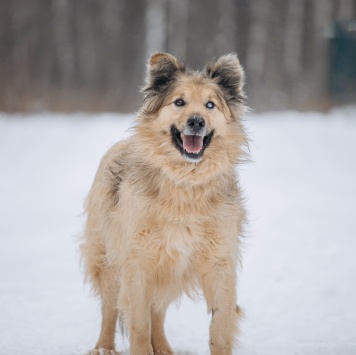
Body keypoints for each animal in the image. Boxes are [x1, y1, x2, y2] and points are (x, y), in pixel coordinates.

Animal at [80, 51, 248, 354]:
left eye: (210, 104)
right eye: (179, 102)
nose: (196, 121)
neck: (184, 183)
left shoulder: (219, 263)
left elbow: (220, 325)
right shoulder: (138, 263)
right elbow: (138, 325)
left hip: (169, 269)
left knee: (157, 311)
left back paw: (164, 349)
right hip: (109, 258)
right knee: (110, 307)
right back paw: (104, 347)